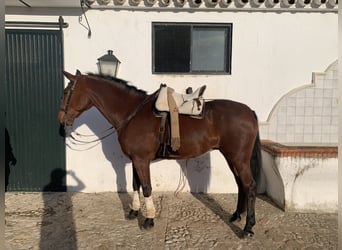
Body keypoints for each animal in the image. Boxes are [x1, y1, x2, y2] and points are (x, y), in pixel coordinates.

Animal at [58, 70, 262, 236]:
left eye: (66, 92)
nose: (61, 120)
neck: (131, 113)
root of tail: (249, 111)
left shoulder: (142, 161)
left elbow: (147, 187)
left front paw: (149, 220)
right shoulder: (135, 160)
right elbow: (135, 184)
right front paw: (134, 211)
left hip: (239, 159)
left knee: (250, 186)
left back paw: (248, 228)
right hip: (231, 158)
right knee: (240, 184)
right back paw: (236, 216)